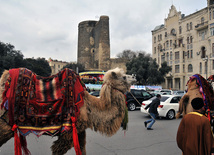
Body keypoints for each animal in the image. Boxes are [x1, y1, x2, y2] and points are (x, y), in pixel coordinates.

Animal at [0, 68, 135, 155]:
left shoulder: (80, 130)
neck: (89, 108)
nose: (134, 77)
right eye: (124, 77)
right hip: (6, 124)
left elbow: (82, 149)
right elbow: (57, 150)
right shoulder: (68, 132)